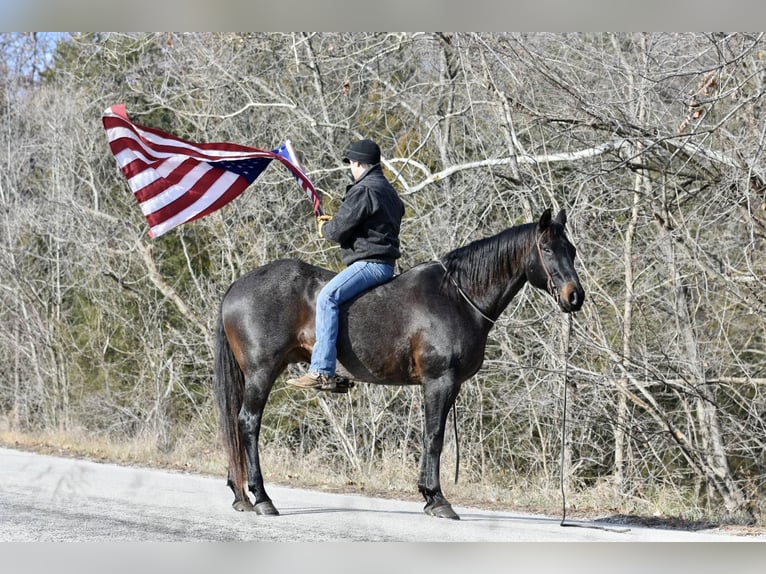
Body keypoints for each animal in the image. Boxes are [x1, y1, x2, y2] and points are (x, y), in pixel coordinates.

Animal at [213, 208, 584, 520]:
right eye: (547, 249)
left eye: (572, 250)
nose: (574, 296)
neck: (457, 297)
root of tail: (237, 286)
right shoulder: (439, 381)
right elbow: (434, 437)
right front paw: (436, 498)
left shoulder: (448, 386)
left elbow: (433, 436)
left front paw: (430, 496)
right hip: (262, 372)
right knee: (247, 423)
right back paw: (262, 497)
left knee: (235, 423)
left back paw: (241, 496)